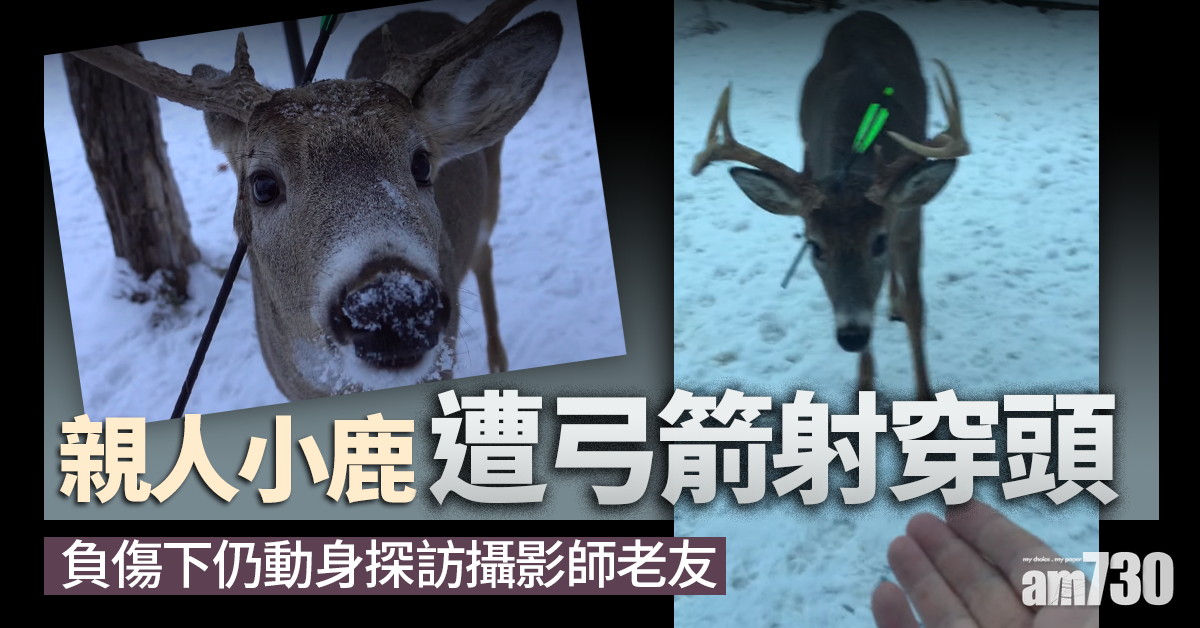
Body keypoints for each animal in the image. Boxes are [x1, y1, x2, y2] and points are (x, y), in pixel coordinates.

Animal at [691, 11, 969, 402]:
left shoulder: (908, 218)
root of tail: (863, 13)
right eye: (815, 246)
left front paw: (926, 396)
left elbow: (917, 306)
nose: (851, 336)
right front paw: (864, 389)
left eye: (878, 241)